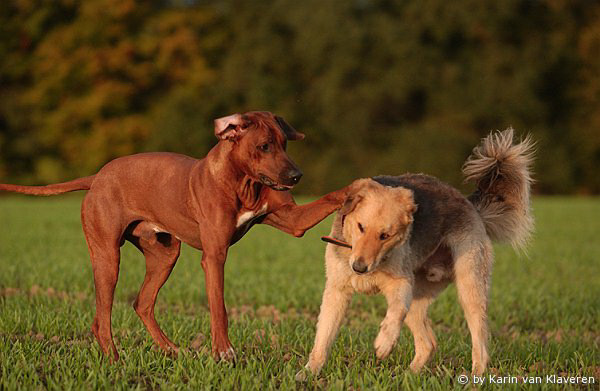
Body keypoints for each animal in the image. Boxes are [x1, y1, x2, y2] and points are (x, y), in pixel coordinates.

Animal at [0, 110, 346, 362]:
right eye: (264, 146)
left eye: (284, 144)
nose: (296, 176)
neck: (241, 182)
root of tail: (98, 176)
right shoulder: (214, 256)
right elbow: (219, 307)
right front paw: (224, 353)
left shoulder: (292, 220)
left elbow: (331, 197)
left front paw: (354, 191)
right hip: (107, 257)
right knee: (102, 319)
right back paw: (115, 361)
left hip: (165, 254)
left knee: (142, 303)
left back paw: (170, 349)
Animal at [296, 129, 536, 380]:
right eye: (361, 227)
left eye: (385, 235)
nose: (359, 269)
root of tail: (471, 206)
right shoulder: (337, 291)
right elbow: (323, 339)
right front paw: (308, 373)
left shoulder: (401, 284)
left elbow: (395, 313)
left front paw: (384, 343)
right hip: (420, 297)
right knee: (428, 343)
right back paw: (409, 376)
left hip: (470, 288)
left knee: (480, 339)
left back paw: (474, 378)